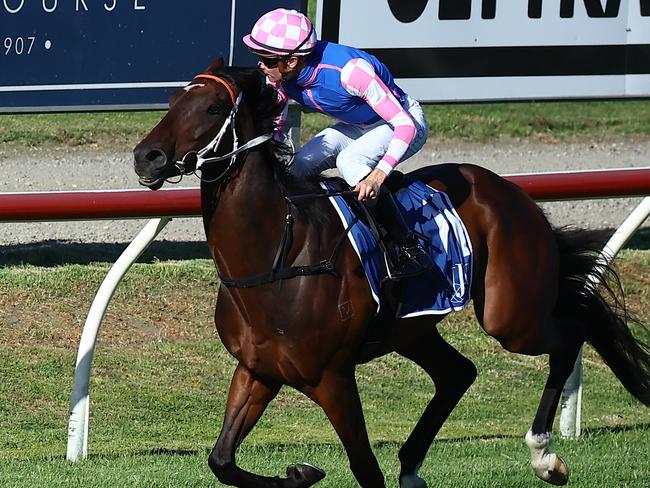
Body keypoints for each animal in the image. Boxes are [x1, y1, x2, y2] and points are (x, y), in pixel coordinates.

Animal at [133, 62, 648, 488]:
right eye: (172, 101)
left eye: (213, 107)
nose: (147, 157)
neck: (275, 258)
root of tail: (512, 192)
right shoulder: (257, 369)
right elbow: (221, 460)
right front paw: (301, 473)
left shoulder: (333, 378)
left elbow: (365, 469)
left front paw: (307, 471)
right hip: (411, 327)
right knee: (458, 372)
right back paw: (413, 467)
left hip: (511, 316)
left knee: (569, 335)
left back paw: (545, 456)